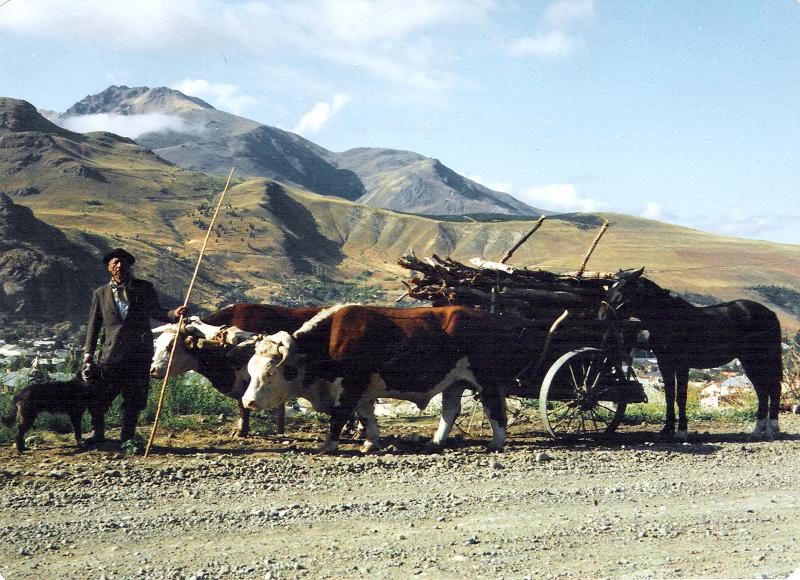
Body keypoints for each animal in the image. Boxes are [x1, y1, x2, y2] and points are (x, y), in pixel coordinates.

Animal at [600, 268, 780, 440]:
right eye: (610, 288)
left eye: (622, 290)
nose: (602, 316)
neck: (670, 319)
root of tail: (770, 313)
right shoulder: (664, 363)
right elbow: (669, 395)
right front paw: (667, 430)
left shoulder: (682, 365)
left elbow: (681, 396)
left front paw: (682, 431)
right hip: (749, 361)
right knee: (762, 391)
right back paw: (758, 431)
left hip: (761, 358)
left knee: (772, 388)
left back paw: (771, 429)